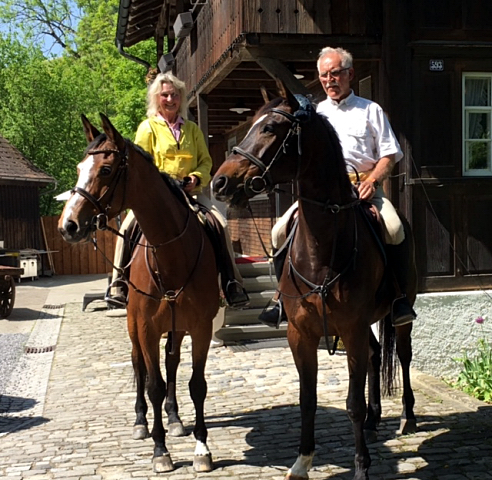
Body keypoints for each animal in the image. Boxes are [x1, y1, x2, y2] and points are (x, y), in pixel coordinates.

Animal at [57, 113, 219, 472]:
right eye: (78, 168)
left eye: (105, 169)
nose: (68, 225)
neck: (171, 253)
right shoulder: (145, 328)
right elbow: (152, 384)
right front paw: (160, 451)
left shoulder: (201, 327)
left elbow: (197, 384)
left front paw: (201, 448)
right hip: (134, 328)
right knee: (139, 366)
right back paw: (142, 422)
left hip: (176, 328)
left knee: (171, 363)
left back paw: (174, 418)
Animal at [211, 80, 416, 478]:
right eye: (249, 126)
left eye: (270, 128)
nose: (220, 182)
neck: (323, 247)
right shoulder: (301, 334)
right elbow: (307, 399)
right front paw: (302, 460)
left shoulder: (350, 330)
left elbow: (351, 403)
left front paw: (361, 466)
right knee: (374, 355)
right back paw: (374, 419)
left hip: (400, 315)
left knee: (403, 353)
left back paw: (407, 417)